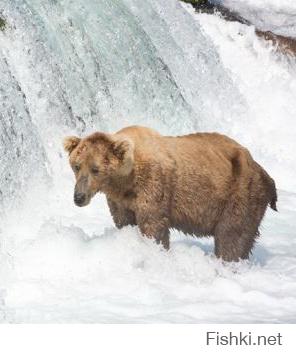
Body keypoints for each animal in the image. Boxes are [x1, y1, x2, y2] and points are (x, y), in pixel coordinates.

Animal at [63, 126, 278, 262]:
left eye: (95, 169)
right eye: (77, 166)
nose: (79, 197)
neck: (126, 180)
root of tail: (263, 171)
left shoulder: (153, 185)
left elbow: (153, 224)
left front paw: (156, 250)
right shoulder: (120, 199)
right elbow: (124, 221)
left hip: (240, 192)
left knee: (232, 235)